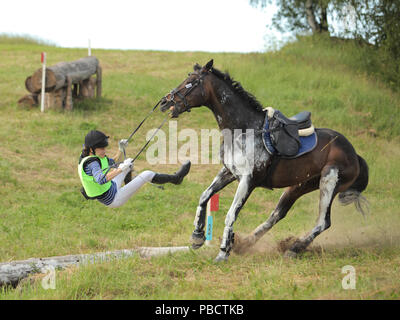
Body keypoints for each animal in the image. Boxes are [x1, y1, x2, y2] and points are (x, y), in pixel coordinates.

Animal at [159, 60, 368, 262]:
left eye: (191, 82)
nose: (164, 102)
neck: (243, 129)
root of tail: (355, 154)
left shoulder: (248, 180)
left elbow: (231, 214)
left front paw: (223, 253)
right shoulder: (229, 172)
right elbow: (204, 196)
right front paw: (197, 237)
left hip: (329, 181)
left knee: (323, 222)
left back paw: (294, 248)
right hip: (300, 185)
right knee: (277, 214)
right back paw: (246, 243)